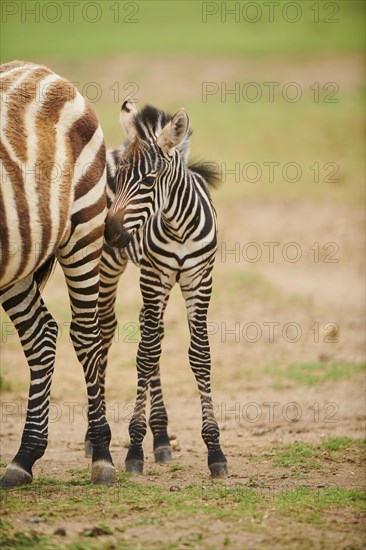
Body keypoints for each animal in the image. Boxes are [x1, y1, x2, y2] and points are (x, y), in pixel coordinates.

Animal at [0, 60, 114, 490]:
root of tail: (35, 67)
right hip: (20, 255)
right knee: (40, 335)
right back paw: (25, 456)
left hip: (84, 225)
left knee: (87, 335)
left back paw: (102, 455)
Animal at [103, 101, 229, 480]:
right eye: (119, 180)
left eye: (149, 180)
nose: (111, 235)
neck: (178, 226)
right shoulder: (154, 276)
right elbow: (145, 356)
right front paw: (133, 449)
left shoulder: (200, 280)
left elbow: (199, 356)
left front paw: (215, 451)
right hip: (119, 270)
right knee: (116, 336)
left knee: (154, 334)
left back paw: (160, 437)